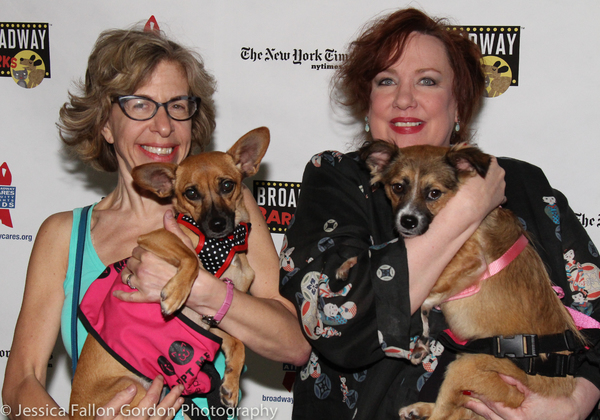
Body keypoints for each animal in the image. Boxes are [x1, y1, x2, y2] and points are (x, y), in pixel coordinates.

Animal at [69, 127, 270, 416]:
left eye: (227, 185)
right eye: (191, 193)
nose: (217, 223)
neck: (225, 245)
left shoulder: (208, 322)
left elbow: (237, 343)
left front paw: (231, 383)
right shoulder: (154, 238)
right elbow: (189, 257)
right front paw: (175, 293)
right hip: (132, 389)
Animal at [356, 142, 580, 420]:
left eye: (434, 193)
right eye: (398, 187)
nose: (407, 221)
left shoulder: (470, 264)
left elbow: (427, 299)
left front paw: (423, 333)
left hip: (467, 366)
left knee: (446, 413)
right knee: (456, 408)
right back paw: (419, 409)